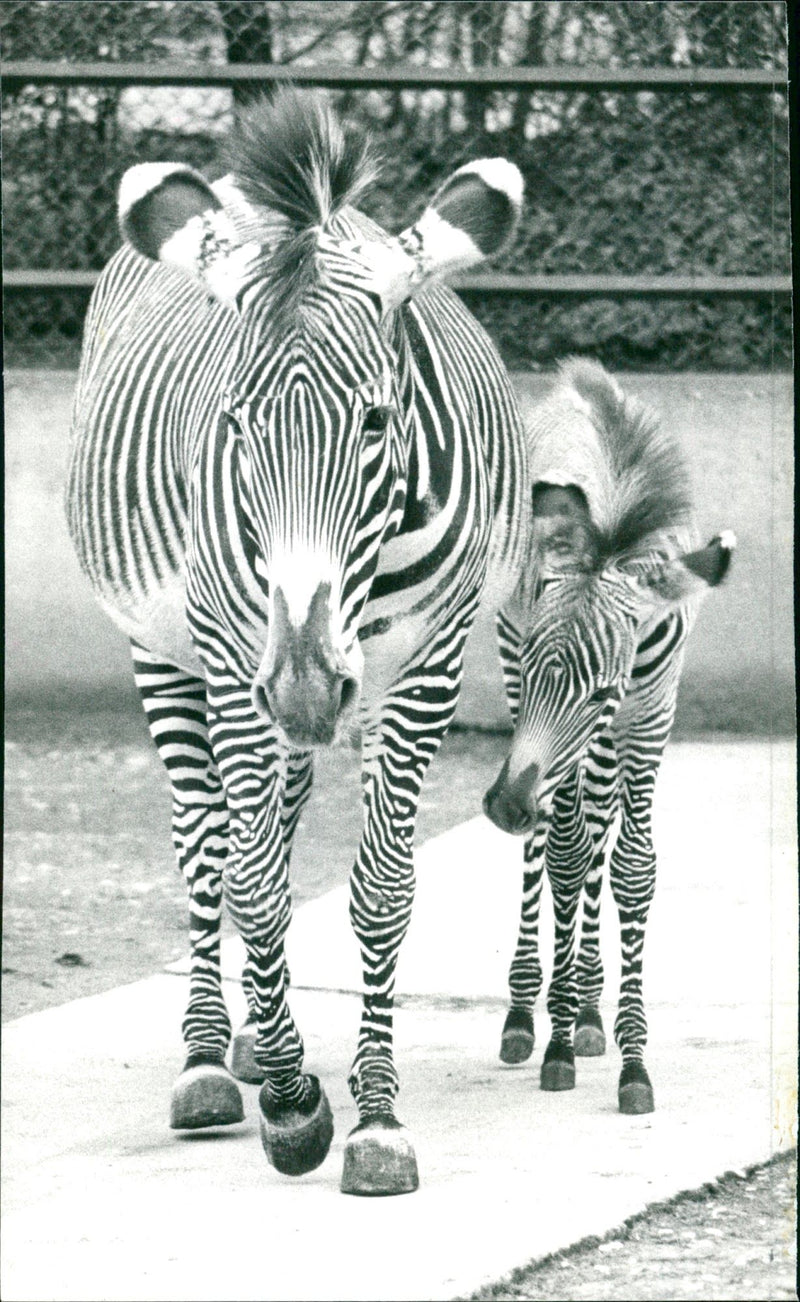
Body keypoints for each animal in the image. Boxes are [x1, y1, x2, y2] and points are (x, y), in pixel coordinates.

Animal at [66, 89, 528, 1195]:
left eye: (375, 422)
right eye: (235, 424)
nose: (311, 684)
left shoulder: (423, 664)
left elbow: (380, 888)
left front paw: (374, 1116)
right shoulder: (237, 656)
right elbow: (249, 880)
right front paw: (291, 1105)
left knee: (274, 811)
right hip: (170, 653)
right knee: (204, 840)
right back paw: (208, 1057)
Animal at [482, 359, 735, 1114]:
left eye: (601, 690)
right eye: (535, 660)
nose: (503, 805)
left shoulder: (650, 710)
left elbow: (632, 866)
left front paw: (631, 1058)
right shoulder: (531, 688)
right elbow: (564, 856)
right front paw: (558, 1042)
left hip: (609, 741)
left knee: (598, 822)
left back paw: (592, 1003)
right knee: (555, 840)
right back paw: (529, 1010)